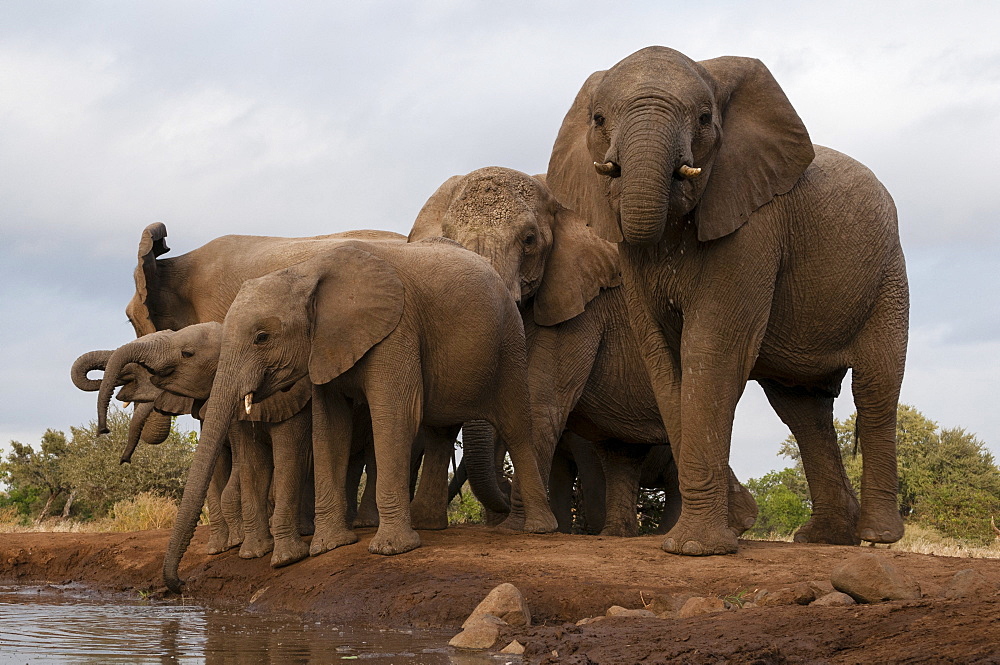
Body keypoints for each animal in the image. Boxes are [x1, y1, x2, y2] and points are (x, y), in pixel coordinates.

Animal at [160, 237, 560, 592]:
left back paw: (537, 529)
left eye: (262, 337)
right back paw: (430, 525)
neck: (306, 271)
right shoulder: (325, 346)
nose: (179, 584)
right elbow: (330, 428)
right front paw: (330, 546)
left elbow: (395, 415)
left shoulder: (396, 329)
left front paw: (390, 550)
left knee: (516, 426)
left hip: (510, 341)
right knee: (440, 431)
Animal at [410, 166, 752, 536]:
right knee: (623, 452)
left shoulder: (581, 301)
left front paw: (518, 528)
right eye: (448, 237)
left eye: (529, 240)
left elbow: (542, 401)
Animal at [548, 48, 908, 556]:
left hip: (888, 276)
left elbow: (711, 349)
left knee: (875, 390)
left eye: (703, 119)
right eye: (598, 119)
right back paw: (825, 538)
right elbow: (664, 358)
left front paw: (695, 549)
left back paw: (875, 540)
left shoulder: (754, 227)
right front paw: (704, 538)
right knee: (803, 410)